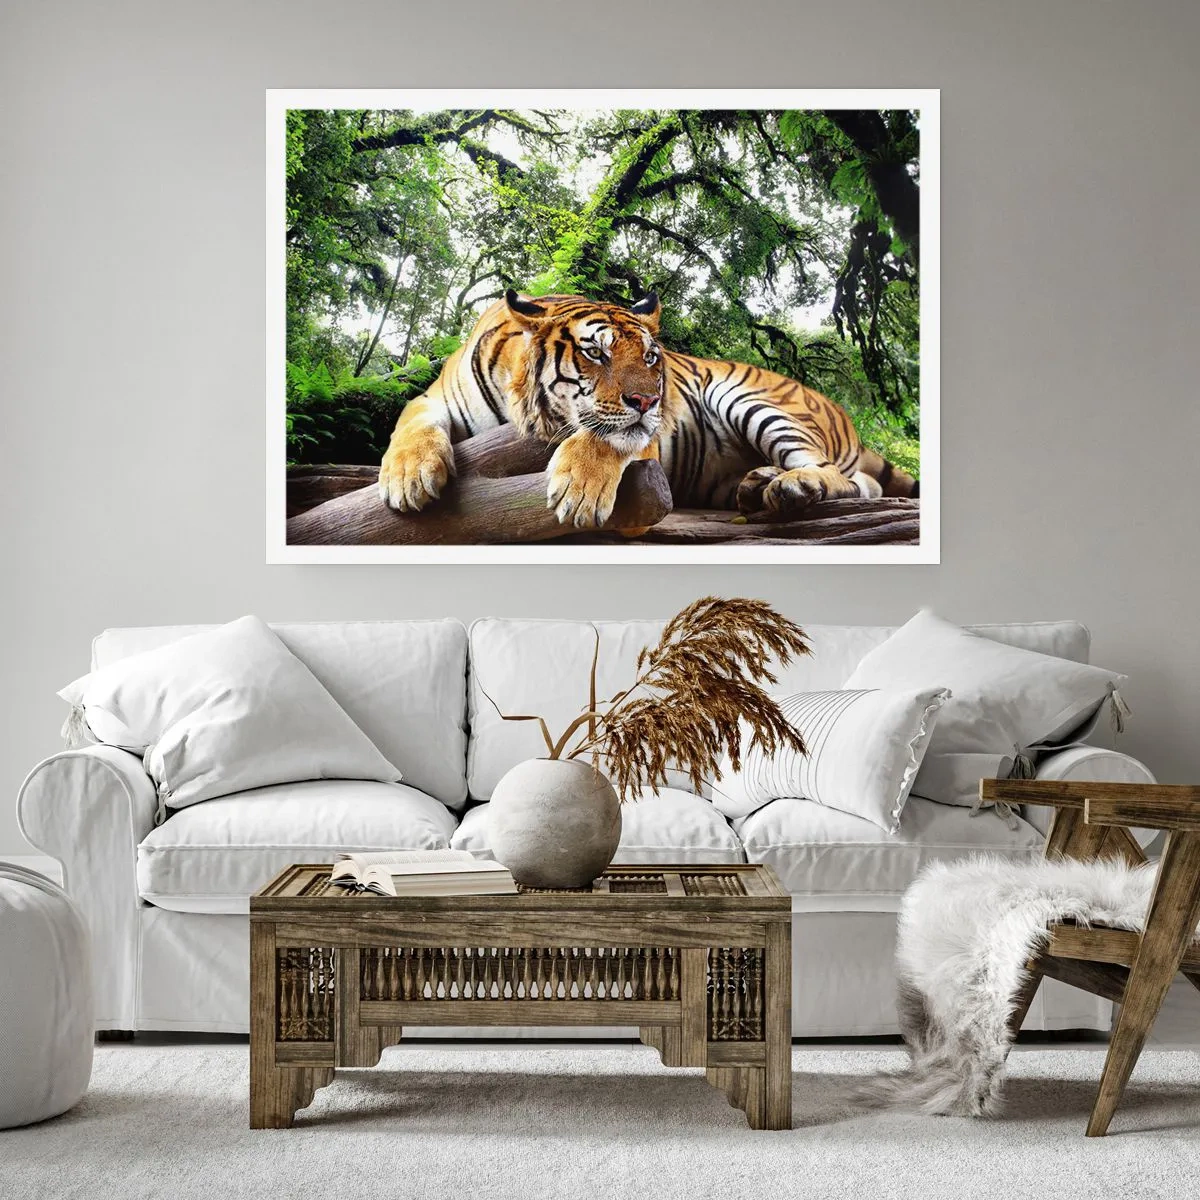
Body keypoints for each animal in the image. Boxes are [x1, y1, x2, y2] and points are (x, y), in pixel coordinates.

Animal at [378, 290, 917, 527]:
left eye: (651, 357)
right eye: (596, 353)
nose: (650, 400)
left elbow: (608, 436)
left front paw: (579, 492)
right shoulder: (433, 398)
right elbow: (409, 422)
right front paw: (408, 476)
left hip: (753, 401)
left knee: (840, 477)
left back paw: (791, 486)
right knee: (861, 483)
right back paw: (758, 484)